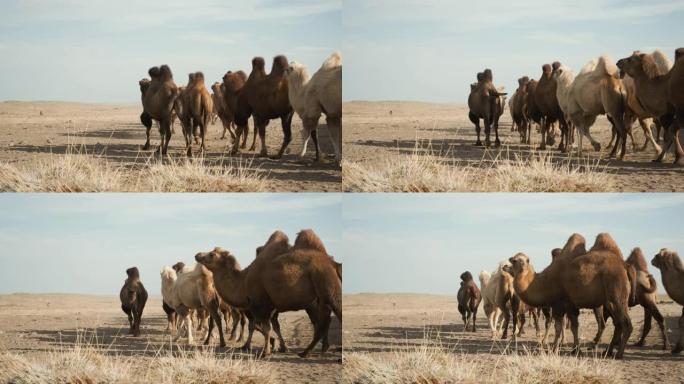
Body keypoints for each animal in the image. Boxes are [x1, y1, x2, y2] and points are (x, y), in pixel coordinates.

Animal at [195, 228, 340, 356]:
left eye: (212, 254)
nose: (197, 255)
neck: (243, 282)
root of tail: (331, 262)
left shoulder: (261, 304)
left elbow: (264, 327)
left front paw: (265, 351)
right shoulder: (265, 307)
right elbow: (268, 327)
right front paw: (277, 347)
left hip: (325, 288)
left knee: (326, 319)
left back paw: (308, 352)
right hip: (319, 300)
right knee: (323, 321)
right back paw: (319, 349)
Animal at [508, 231, 636, 360]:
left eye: (527, 260)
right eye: (514, 260)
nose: (523, 265)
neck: (543, 282)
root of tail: (625, 266)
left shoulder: (559, 303)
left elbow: (558, 327)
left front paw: (554, 349)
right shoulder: (570, 305)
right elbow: (574, 326)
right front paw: (576, 350)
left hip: (616, 296)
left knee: (626, 324)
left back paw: (618, 354)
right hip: (610, 301)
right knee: (618, 325)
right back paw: (607, 352)